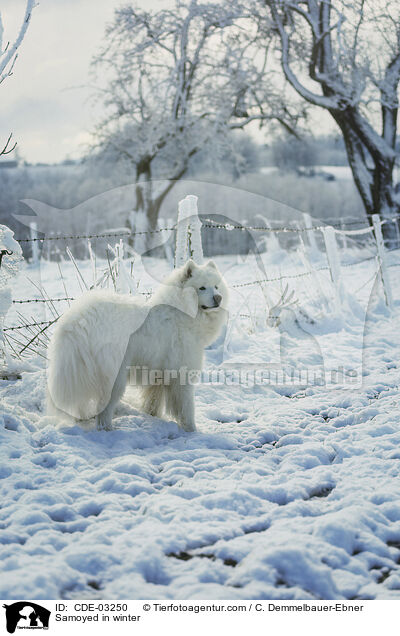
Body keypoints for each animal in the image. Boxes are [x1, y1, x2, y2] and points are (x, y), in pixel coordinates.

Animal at [47, 258, 228, 432]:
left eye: (216, 286)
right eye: (202, 288)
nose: (218, 298)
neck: (182, 312)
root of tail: (78, 320)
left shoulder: (159, 374)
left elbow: (153, 401)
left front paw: (153, 417)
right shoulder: (181, 373)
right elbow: (186, 407)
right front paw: (191, 430)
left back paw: (82, 419)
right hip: (115, 377)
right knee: (104, 409)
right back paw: (108, 430)